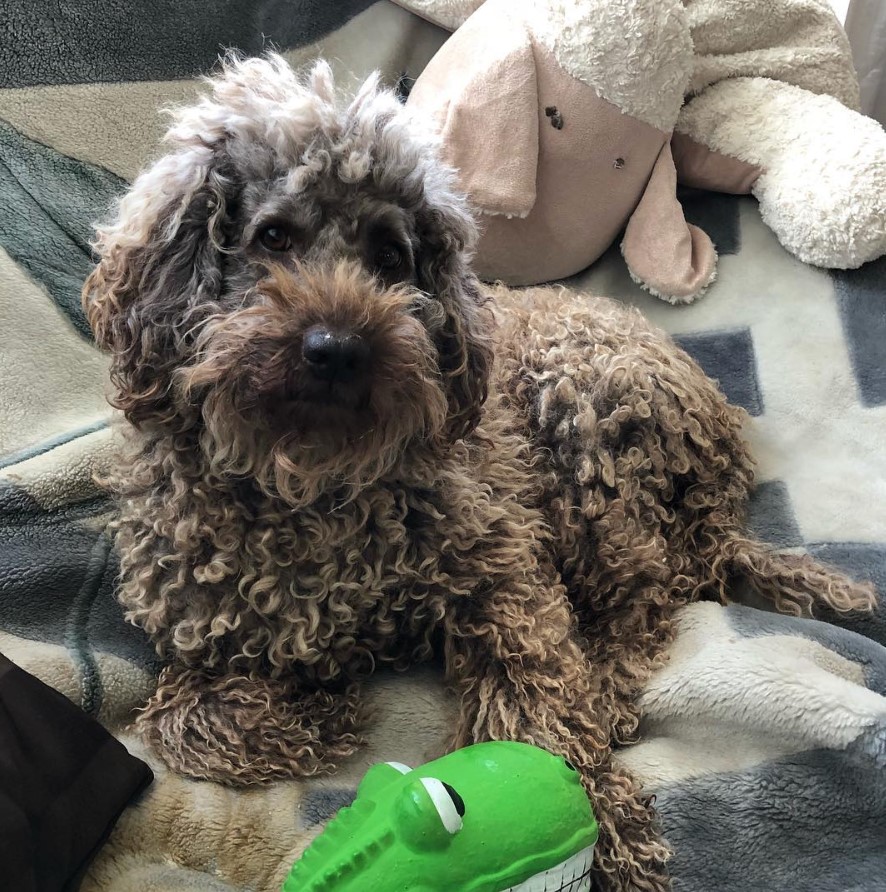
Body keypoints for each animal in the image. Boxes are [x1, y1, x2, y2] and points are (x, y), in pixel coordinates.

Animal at [81, 55, 876, 892]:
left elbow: (540, 710)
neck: (315, 478)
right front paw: (320, 702)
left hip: (587, 426)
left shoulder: (502, 574)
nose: (337, 348)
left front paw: (606, 828)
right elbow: (185, 723)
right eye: (272, 237)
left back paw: (608, 684)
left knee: (648, 595)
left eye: (389, 256)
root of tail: (723, 423)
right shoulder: (198, 639)